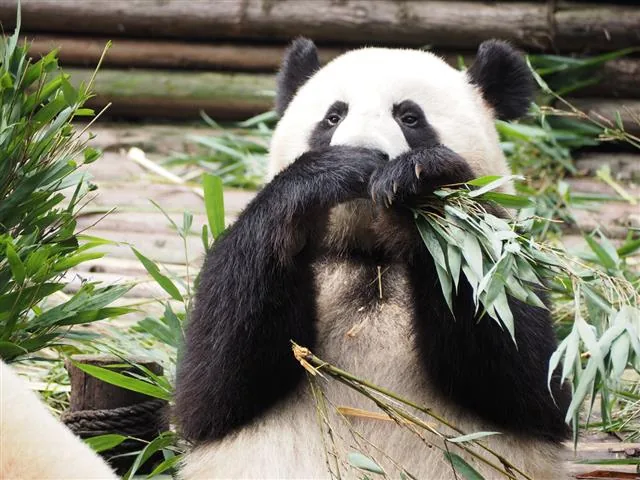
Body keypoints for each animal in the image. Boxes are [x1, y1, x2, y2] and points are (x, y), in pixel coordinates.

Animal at [175, 38, 571, 479]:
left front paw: (420, 179)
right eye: (333, 116)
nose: (367, 152)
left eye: (410, 116)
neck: (372, 257)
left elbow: (526, 381)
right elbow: (212, 388)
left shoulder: (507, 256)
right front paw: (328, 173)